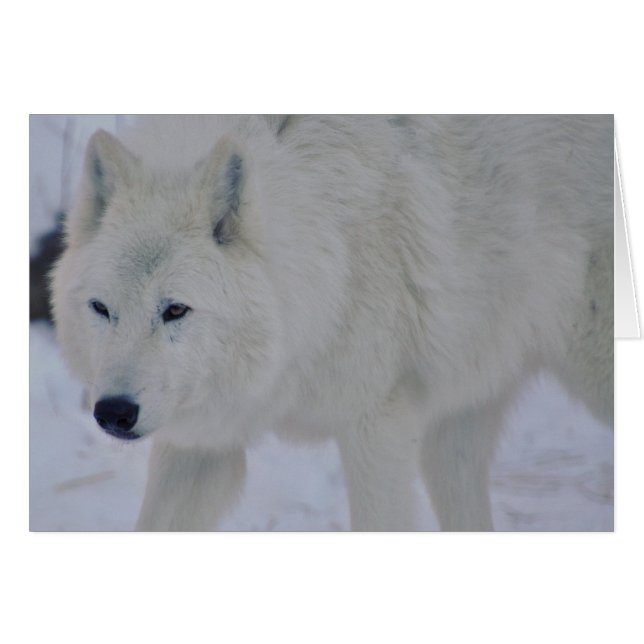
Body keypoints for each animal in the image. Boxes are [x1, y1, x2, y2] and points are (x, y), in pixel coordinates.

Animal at [51, 115, 613, 531]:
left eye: (174, 310)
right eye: (101, 309)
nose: (113, 412)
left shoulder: (378, 427)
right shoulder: (201, 443)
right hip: (458, 422)